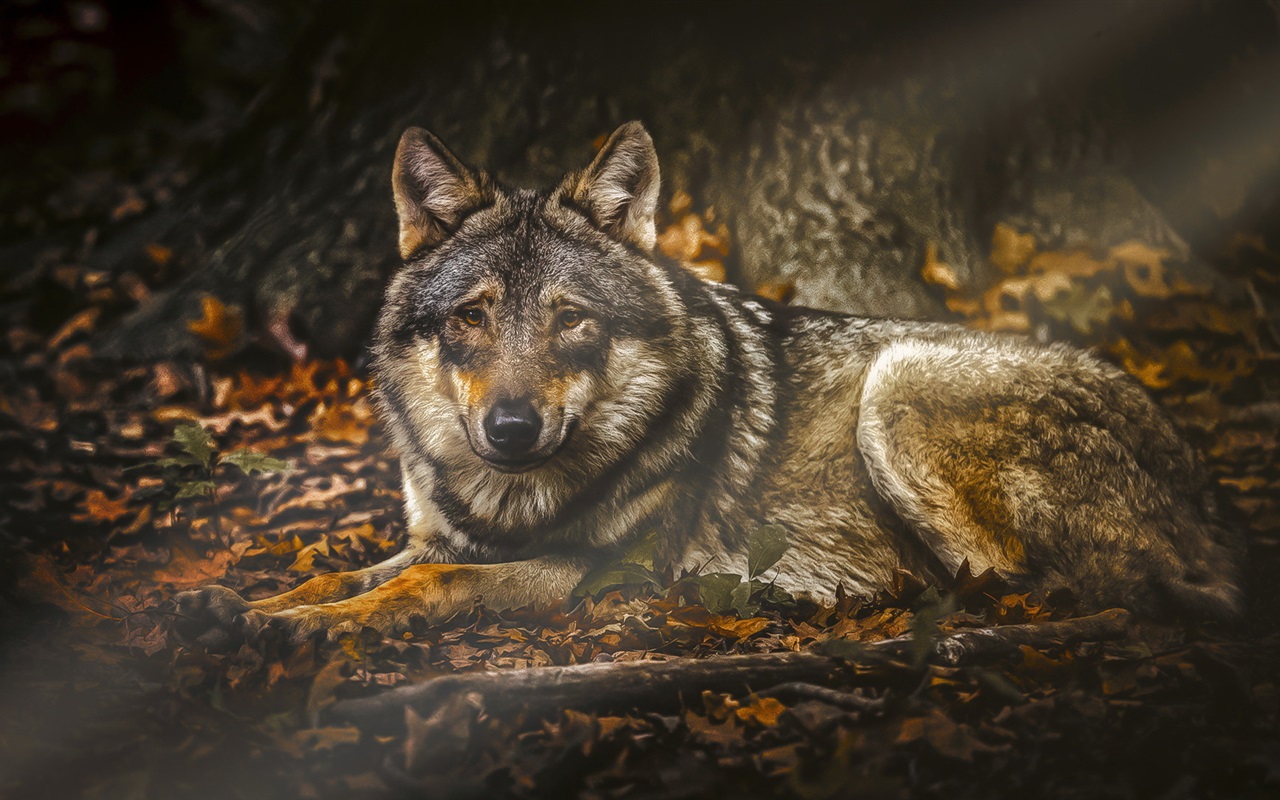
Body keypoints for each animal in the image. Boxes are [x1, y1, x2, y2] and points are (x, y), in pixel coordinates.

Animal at [172, 120, 1239, 642]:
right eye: (471, 316)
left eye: (570, 319)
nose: (512, 430)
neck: (504, 500)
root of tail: (1195, 471)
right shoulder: (444, 535)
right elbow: (352, 571)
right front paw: (251, 609)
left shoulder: (588, 572)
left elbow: (427, 588)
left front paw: (309, 633)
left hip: (898, 387)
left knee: (1040, 586)